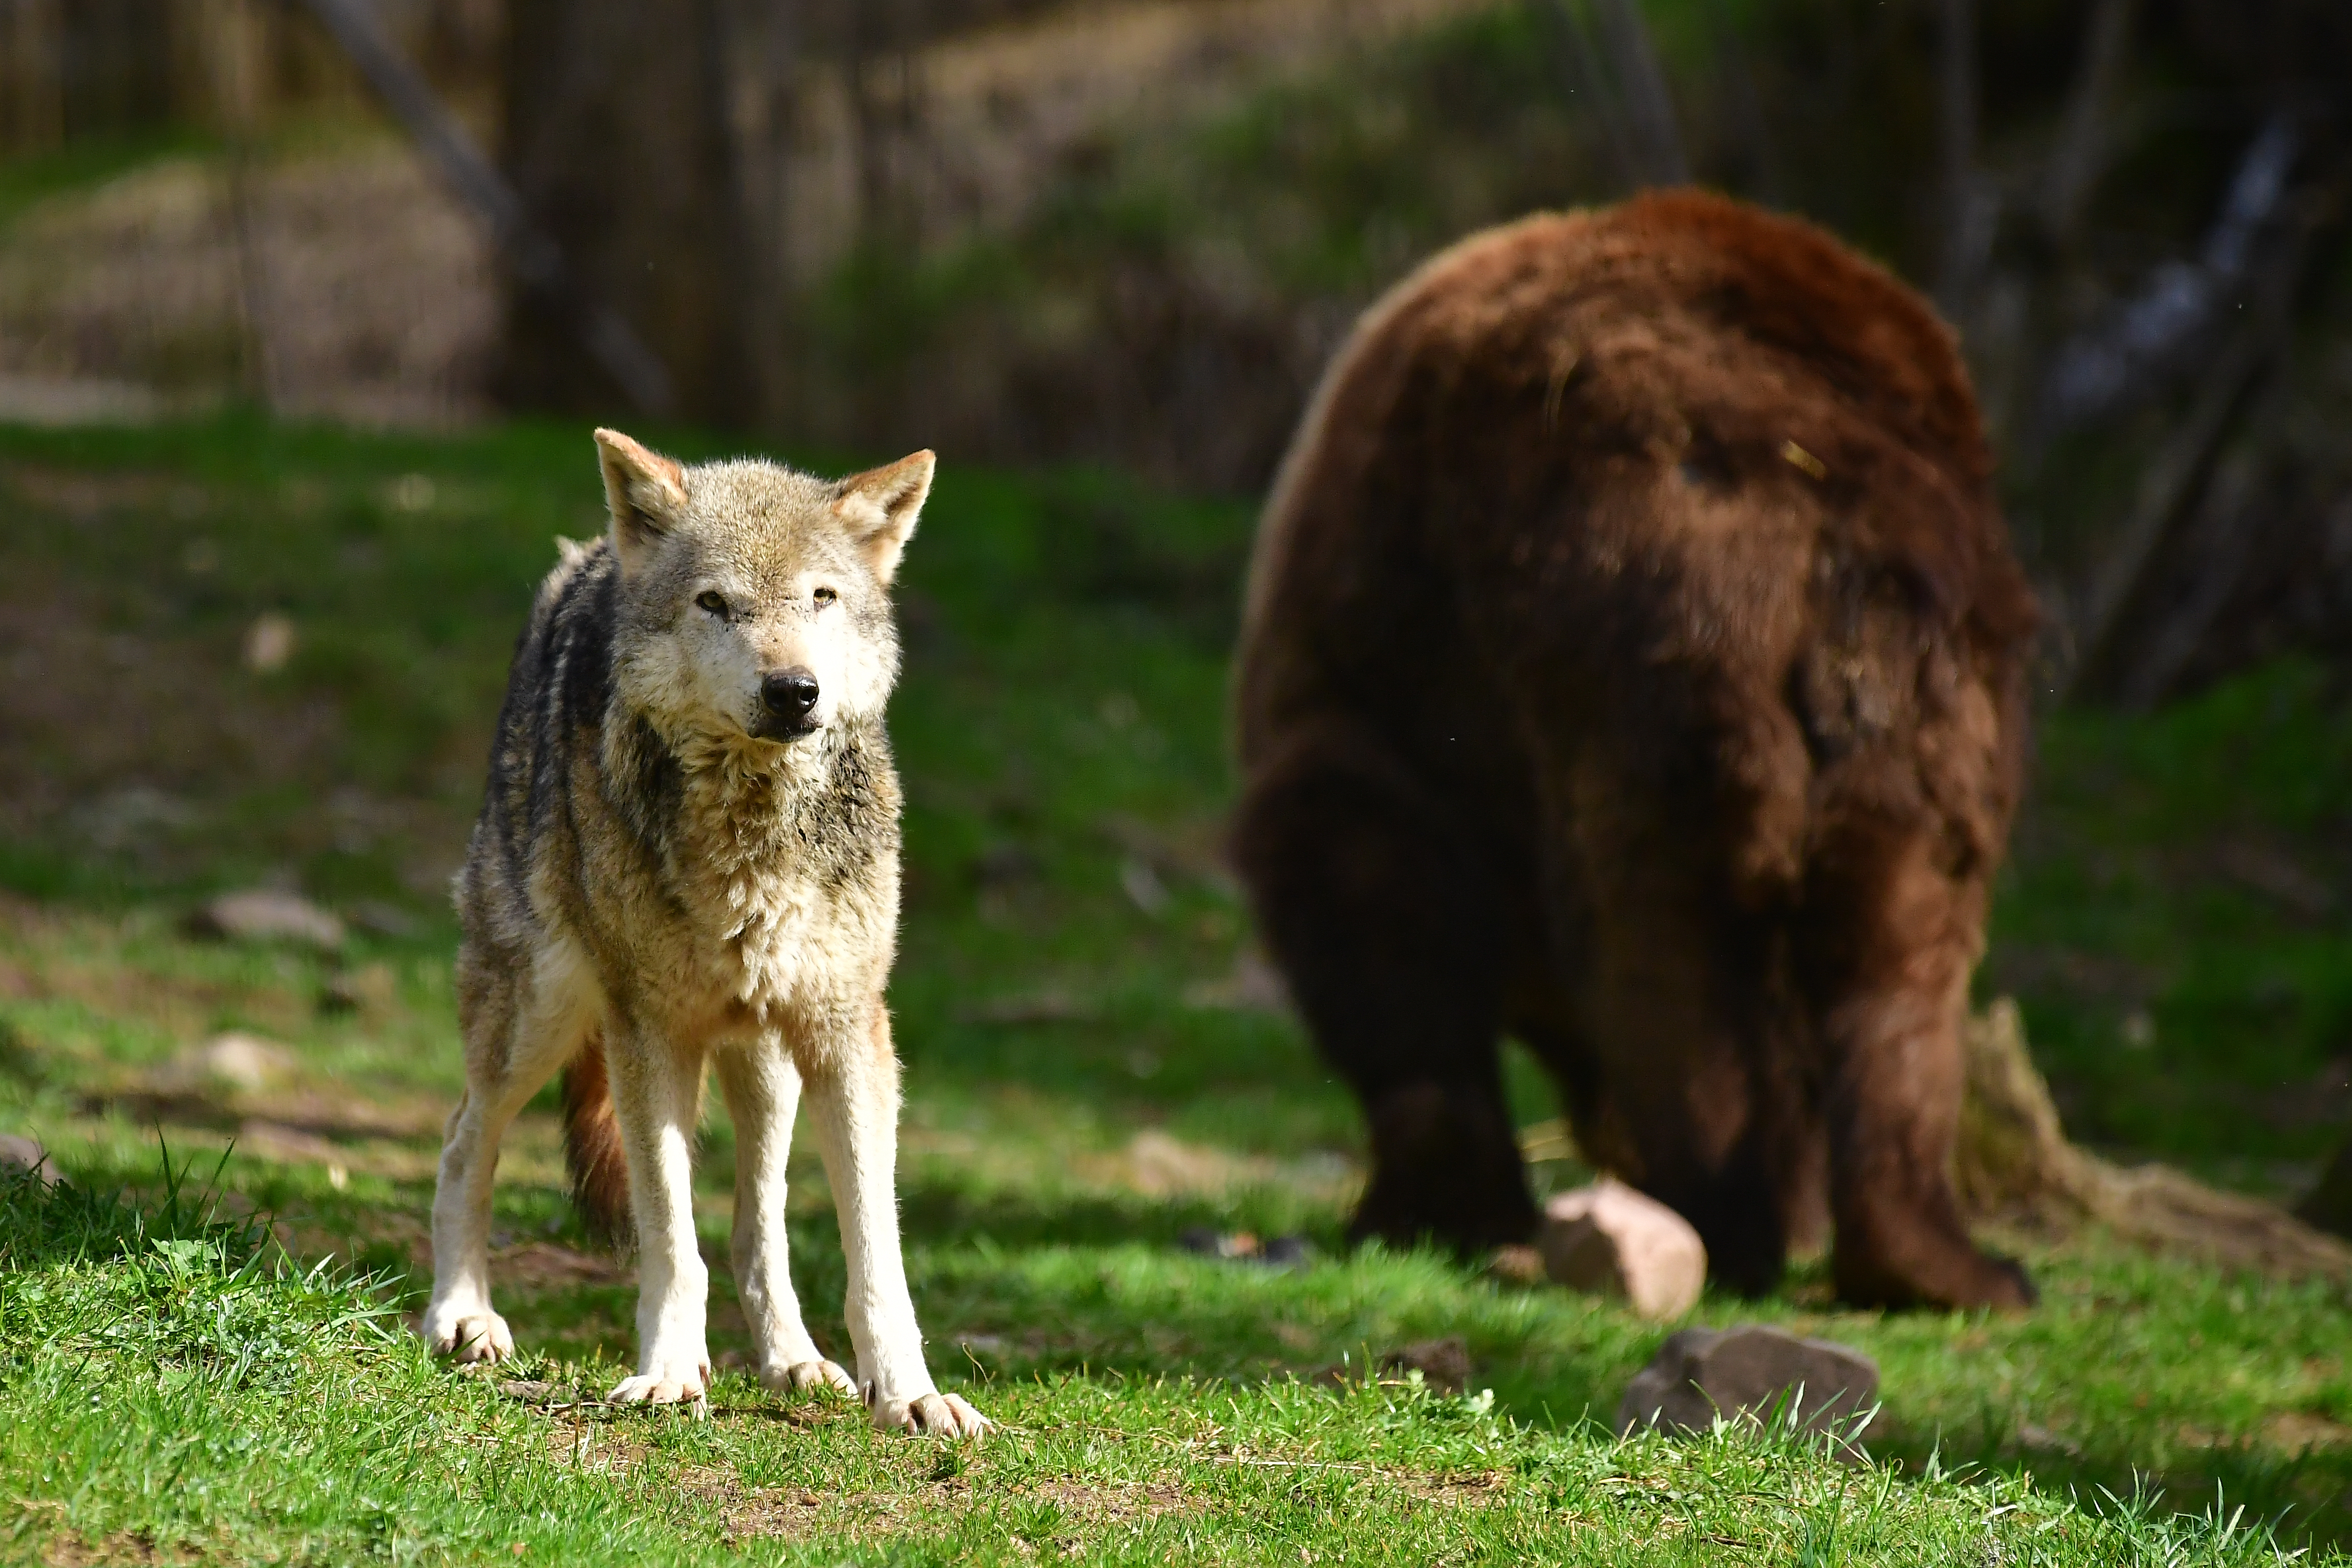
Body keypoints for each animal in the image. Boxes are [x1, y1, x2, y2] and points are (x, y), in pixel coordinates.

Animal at [420, 429, 988, 1435]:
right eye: (715, 603)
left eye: (820, 597)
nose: (793, 690)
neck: (752, 831)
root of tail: (588, 556)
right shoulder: (649, 1034)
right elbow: (671, 1242)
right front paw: (669, 1375)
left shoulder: (849, 1034)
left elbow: (875, 1259)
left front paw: (911, 1395)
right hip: (543, 1012)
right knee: (462, 1139)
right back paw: (462, 1318)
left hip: (767, 1061)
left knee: (758, 1227)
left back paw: (794, 1361)